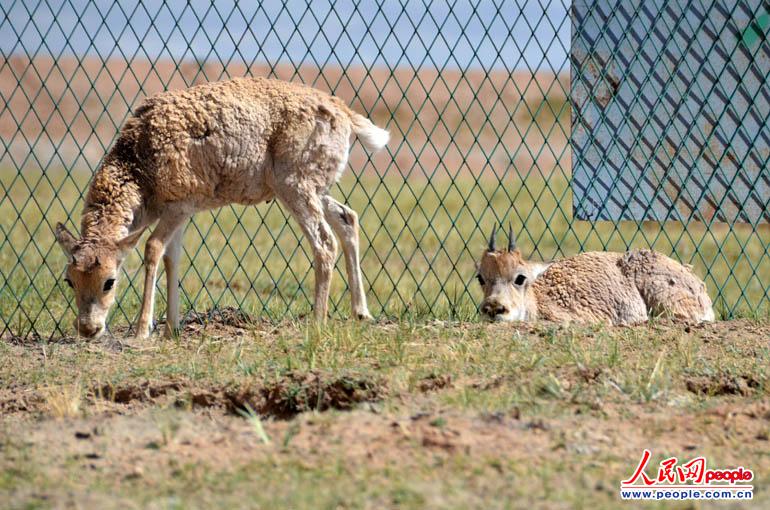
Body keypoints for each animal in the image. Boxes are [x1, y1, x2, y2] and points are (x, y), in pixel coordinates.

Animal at [54, 76, 388, 338]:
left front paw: (142, 330)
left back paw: (318, 321)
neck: (137, 162)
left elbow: (152, 249)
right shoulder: (181, 212)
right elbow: (172, 258)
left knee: (324, 242)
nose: (88, 329)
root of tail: (344, 112)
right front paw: (171, 329)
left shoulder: (177, 207)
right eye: (69, 280)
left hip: (295, 186)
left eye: (109, 281)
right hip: (314, 189)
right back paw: (361, 312)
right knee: (347, 218)